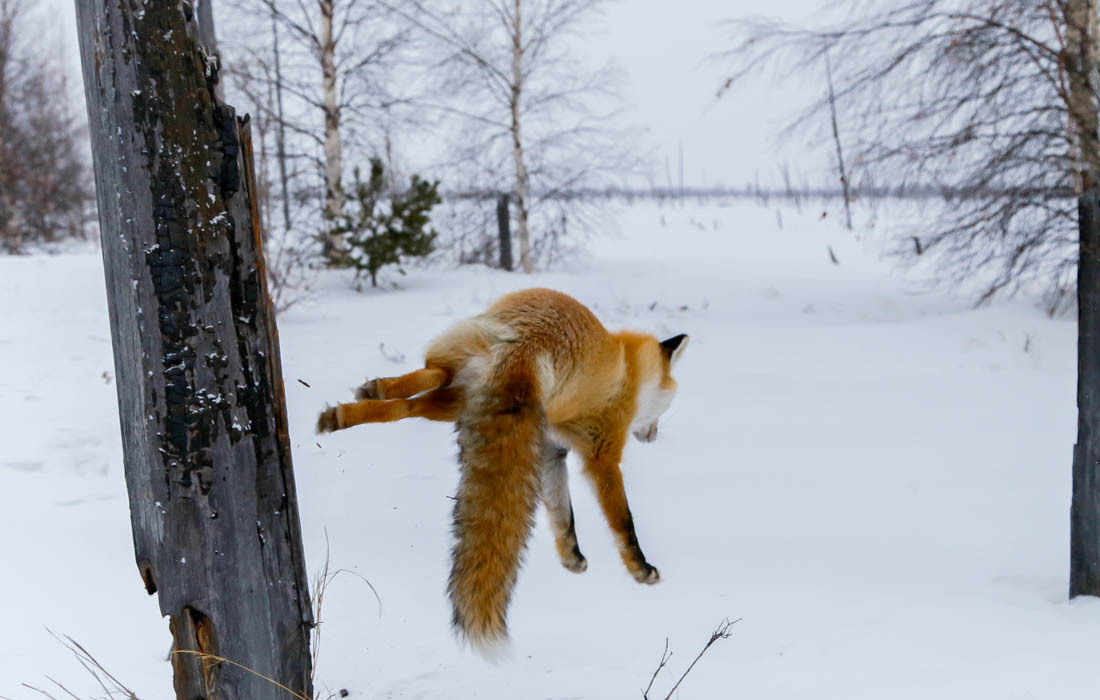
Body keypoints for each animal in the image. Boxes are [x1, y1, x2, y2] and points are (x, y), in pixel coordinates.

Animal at [314, 286, 686, 651]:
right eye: (666, 407)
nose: (653, 436)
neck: (629, 373)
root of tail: (526, 344)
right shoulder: (602, 454)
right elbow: (623, 521)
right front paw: (640, 569)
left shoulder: (550, 450)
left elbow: (562, 515)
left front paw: (571, 556)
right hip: (459, 401)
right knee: (417, 397)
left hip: (456, 396)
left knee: (419, 391)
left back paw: (358, 404)